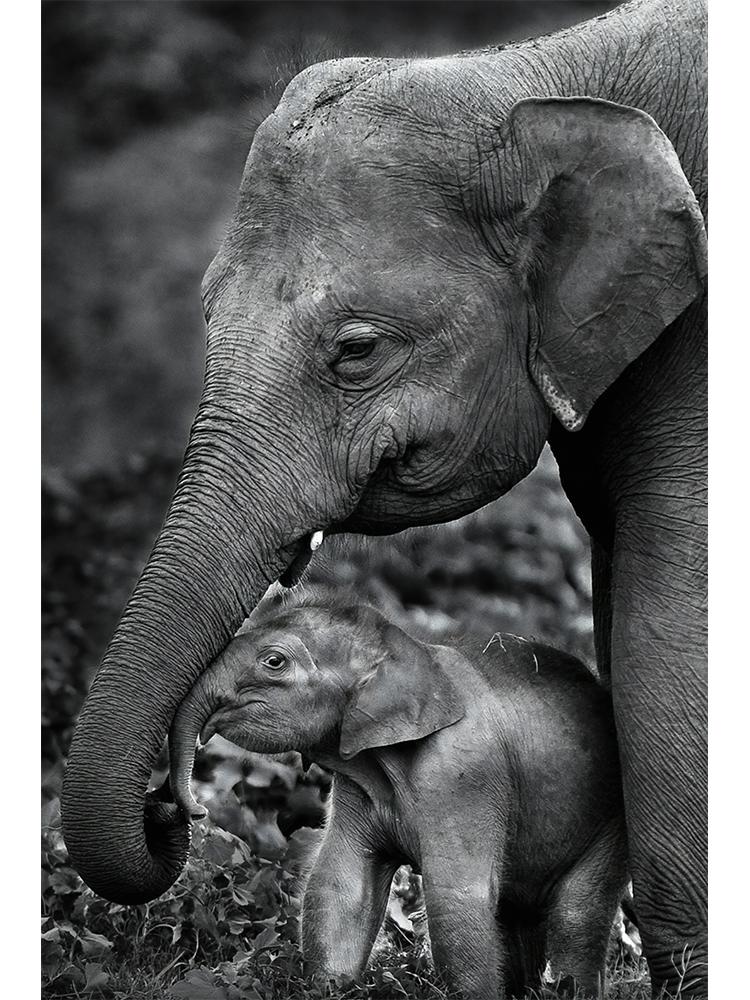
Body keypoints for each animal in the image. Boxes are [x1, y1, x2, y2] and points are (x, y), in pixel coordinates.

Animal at [169, 599, 629, 1000]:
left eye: (274, 661)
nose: (199, 809)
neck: (409, 650)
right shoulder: (356, 783)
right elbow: (340, 884)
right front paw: (330, 988)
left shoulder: (462, 778)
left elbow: (456, 899)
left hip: (610, 822)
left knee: (575, 915)